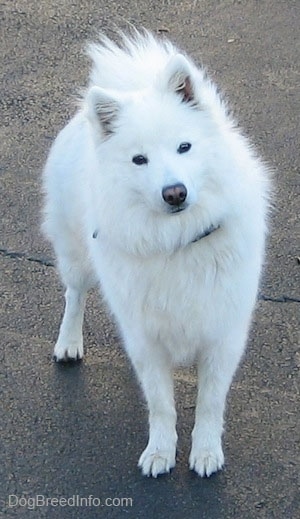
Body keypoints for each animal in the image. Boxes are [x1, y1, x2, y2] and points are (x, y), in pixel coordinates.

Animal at [42, 31, 270, 480]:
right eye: (139, 160)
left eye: (185, 147)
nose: (174, 192)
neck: (177, 241)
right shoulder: (146, 337)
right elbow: (162, 405)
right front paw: (160, 452)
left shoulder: (222, 333)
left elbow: (210, 403)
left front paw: (206, 452)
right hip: (76, 255)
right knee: (74, 295)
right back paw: (69, 342)